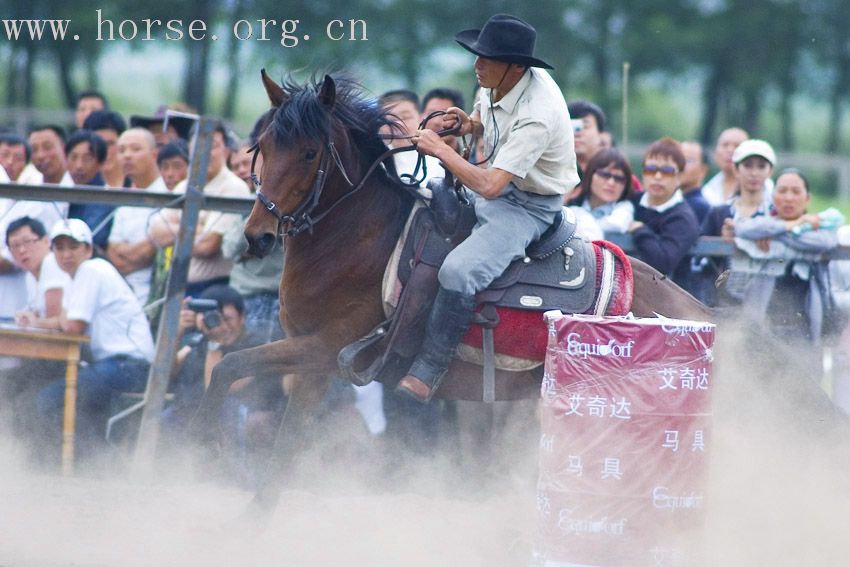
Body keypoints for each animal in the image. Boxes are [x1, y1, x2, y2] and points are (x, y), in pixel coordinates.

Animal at [190, 71, 708, 520]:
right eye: (263, 146)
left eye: (309, 152)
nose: (257, 235)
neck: (361, 242)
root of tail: (694, 309)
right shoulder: (313, 365)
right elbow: (286, 439)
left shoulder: (322, 348)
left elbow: (231, 370)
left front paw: (209, 449)